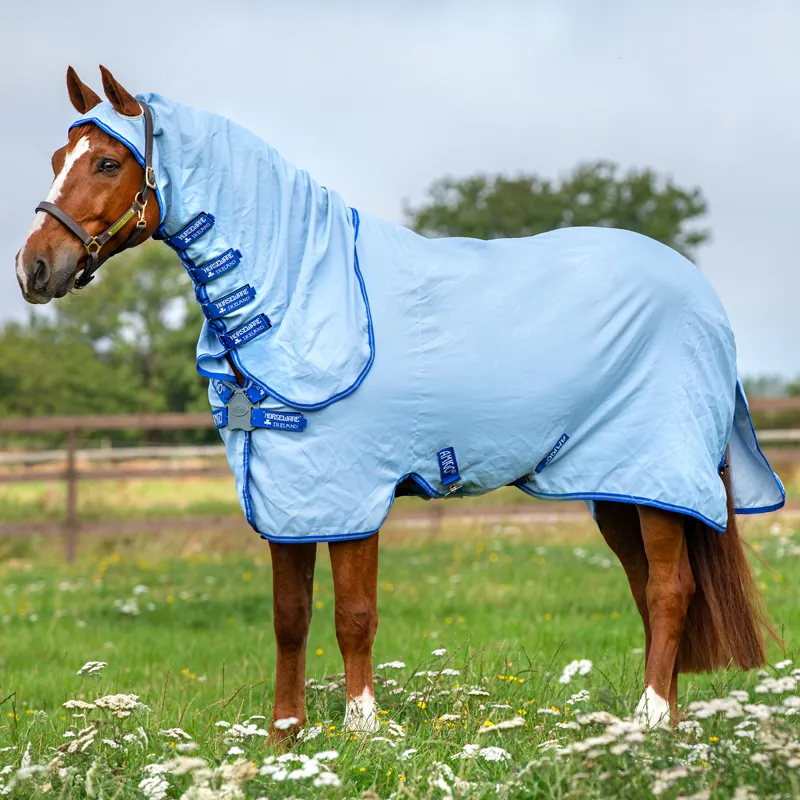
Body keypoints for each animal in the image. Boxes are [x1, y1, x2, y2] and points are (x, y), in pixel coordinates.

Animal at [15, 66, 785, 738]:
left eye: (107, 163)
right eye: (56, 156)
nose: (33, 268)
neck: (302, 292)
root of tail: (700, 292)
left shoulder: (350, 488)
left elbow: (353, 612)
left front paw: (362, 728)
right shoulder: (289, 493)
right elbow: (289, 616)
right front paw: (283, 738)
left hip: (659, 476)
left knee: (669, 591)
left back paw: (651, 720)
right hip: (617, 485)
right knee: (649, 588)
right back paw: (658, 728)